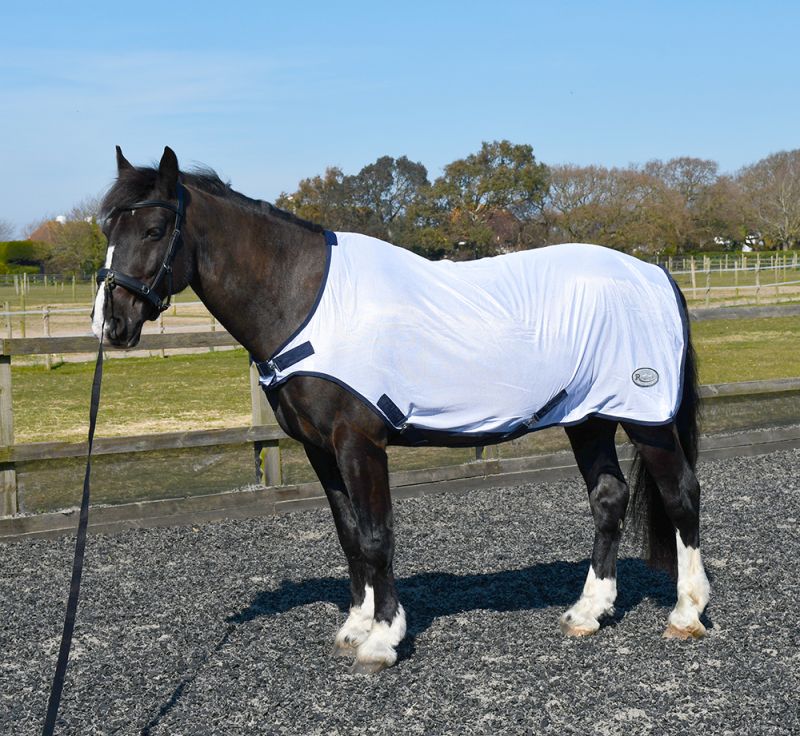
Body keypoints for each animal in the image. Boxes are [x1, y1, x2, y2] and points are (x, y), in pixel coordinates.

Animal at [92, 146, 711, 674]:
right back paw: (589, 611)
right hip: (589, 418)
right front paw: (356, 625)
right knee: (608, 498)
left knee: (680, 493)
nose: (110, 323)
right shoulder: (321, 449)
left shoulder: (359, 442)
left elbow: (375, 535)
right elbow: (348, 533)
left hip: (646, 417)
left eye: (153, 230)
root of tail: (655, 273)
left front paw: (383, 639)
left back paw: (686, 613)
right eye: (107, 230)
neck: (305, 300)